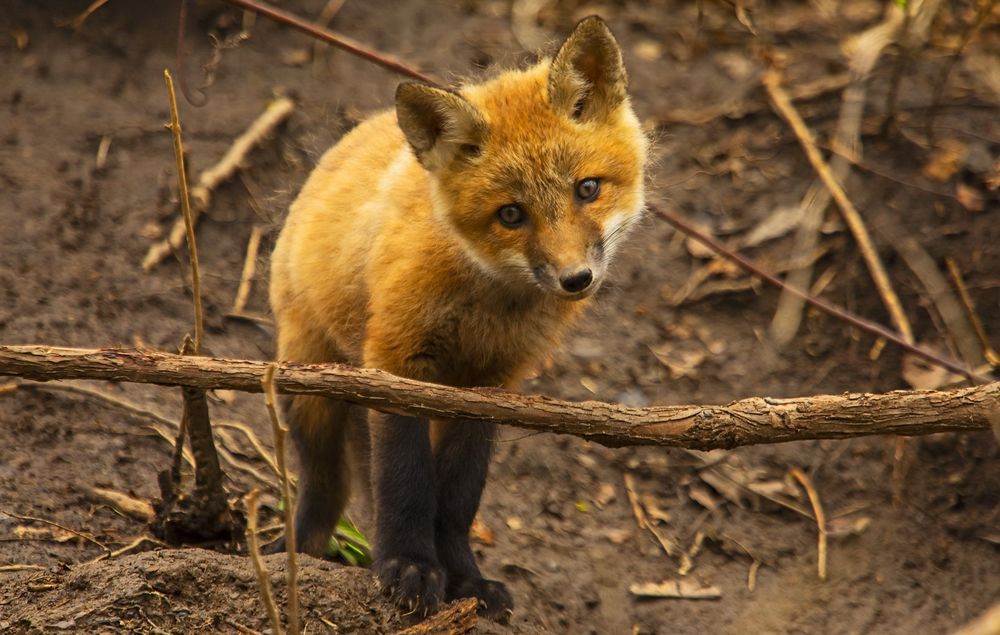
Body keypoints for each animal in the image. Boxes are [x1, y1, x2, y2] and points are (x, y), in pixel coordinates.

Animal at [272, 16, 648, 620]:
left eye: (587, 188)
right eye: (511, 214)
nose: (576, 279)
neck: (489, 304)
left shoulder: (488, 388)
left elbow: (456, 497)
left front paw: (464, 579)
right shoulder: (395, 362)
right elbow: (405, 483)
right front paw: (408, 567)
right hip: (314, 392)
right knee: (325, 490)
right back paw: (301, 554)